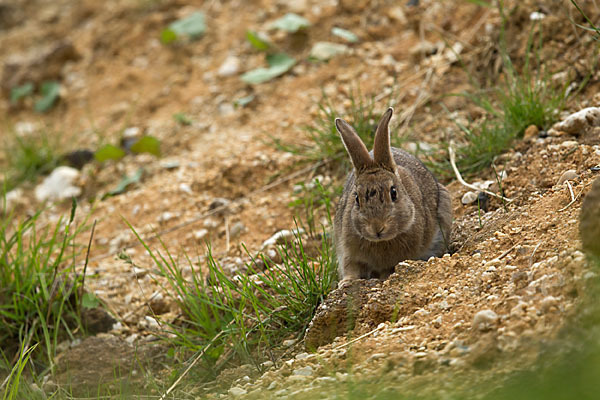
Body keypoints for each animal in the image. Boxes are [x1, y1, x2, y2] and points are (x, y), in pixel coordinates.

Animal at [332, 108, 450, 282]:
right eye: (356, 199)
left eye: (393, 193)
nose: (377, 228)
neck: (381, 242)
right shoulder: (347, 250)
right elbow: (350, 267)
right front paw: (347, 282)